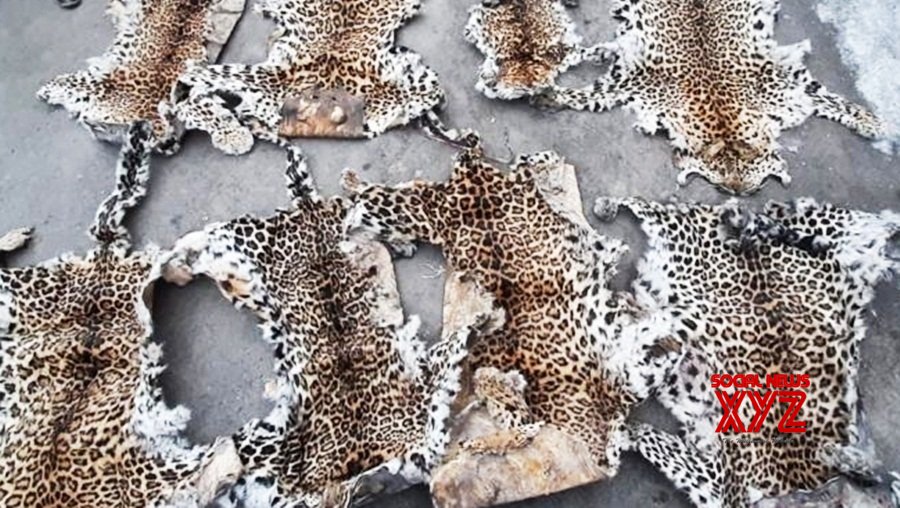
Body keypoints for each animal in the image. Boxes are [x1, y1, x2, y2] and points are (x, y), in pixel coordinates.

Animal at [37, 0, 244, 153]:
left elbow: (205, 110)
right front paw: (48, 90)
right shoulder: (106, 80)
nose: (167, 145)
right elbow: (78, 82)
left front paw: (232, 136)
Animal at [528, 0, 884, 194]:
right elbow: (589, 94)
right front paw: (550, 94)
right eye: (720, 187)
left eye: (755, 188)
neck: (721, 118)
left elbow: (827, 99)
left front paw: (868, 120)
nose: (738, 195)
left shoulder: (782, 80)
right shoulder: (634, 79)